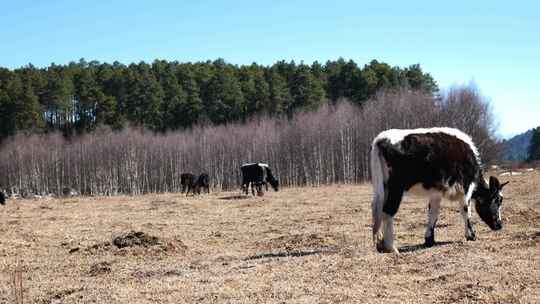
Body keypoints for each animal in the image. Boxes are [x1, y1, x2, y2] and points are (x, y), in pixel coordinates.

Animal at [370, 127, 508, 253]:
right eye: (497, 200)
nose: (499, 225)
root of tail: (381, 138)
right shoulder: (466, 188)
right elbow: (466, 211)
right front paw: (471, 235)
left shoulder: (436, 193)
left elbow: (433, 213)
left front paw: (429, 240)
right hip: (396, 188)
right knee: (388, 211)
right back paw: (391, 247)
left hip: (382, 188)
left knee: (377, 209)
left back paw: (380, 244)